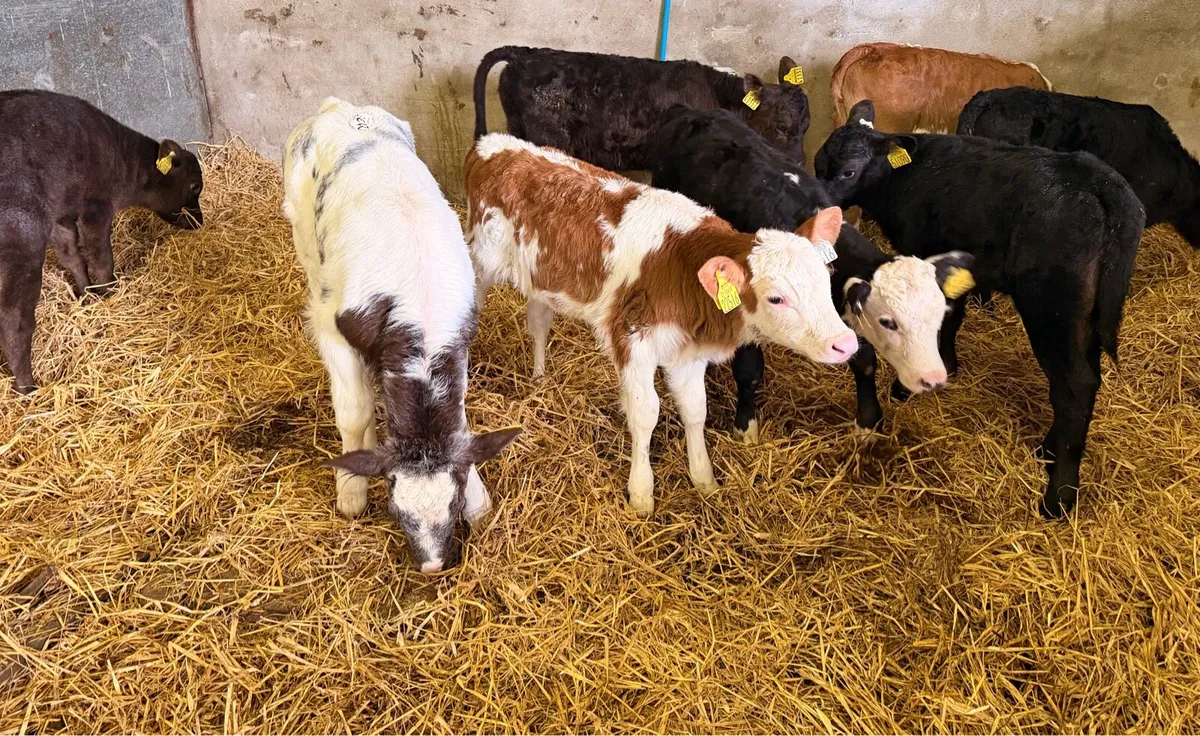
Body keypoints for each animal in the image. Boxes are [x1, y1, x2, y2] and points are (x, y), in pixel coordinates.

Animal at [0, 89, 205, 394]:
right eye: (195, 186)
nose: (199, 221)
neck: (121, 158)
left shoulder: (61, 215)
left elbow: (72, 256)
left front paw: (86, 294)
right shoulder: (95, 207)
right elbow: (100, 258)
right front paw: (108, 292)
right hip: (22, 243)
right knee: (15, 320)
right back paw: (27, 386)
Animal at [282, 98, 521, 574]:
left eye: (453, 506)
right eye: (395, 509)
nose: (431, 566)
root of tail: (338, 107)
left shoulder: (460, 340)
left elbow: (460, 421)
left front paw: (479, 500)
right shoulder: (332, 328)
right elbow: (354, 413)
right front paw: (351, 488)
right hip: (305, 241)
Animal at [465, 133, 857, 516]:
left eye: (826, 277)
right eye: (776, 298)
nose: (846, 343)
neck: (681, 265)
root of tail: (493, 143)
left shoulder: (688, 352)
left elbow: (696, 410)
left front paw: (704, 479)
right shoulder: (632, 340)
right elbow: (645, 414)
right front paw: (641, 495)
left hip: (542, 277)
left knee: (539, 321)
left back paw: (539, 377)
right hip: (479, 265)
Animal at [650, 106, 974, 439]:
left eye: (938, 316)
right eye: (889, 322)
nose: (933, 379)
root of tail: (690, 111)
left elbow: (864, 361)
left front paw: (868, 422)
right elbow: (748, 370)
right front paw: (746, 425)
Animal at [815, 100, 1145, 518]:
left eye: (848, 171)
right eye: (817, 164)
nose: (821, 211)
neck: (904, 178)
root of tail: (1102, 185)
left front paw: (911, 384)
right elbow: (953, 315)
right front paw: (947, 365)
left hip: (1052, 305)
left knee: (1075, 384)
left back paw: (1058, 496)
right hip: (1086, 312)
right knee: (1087, 377)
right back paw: (1048, 450)